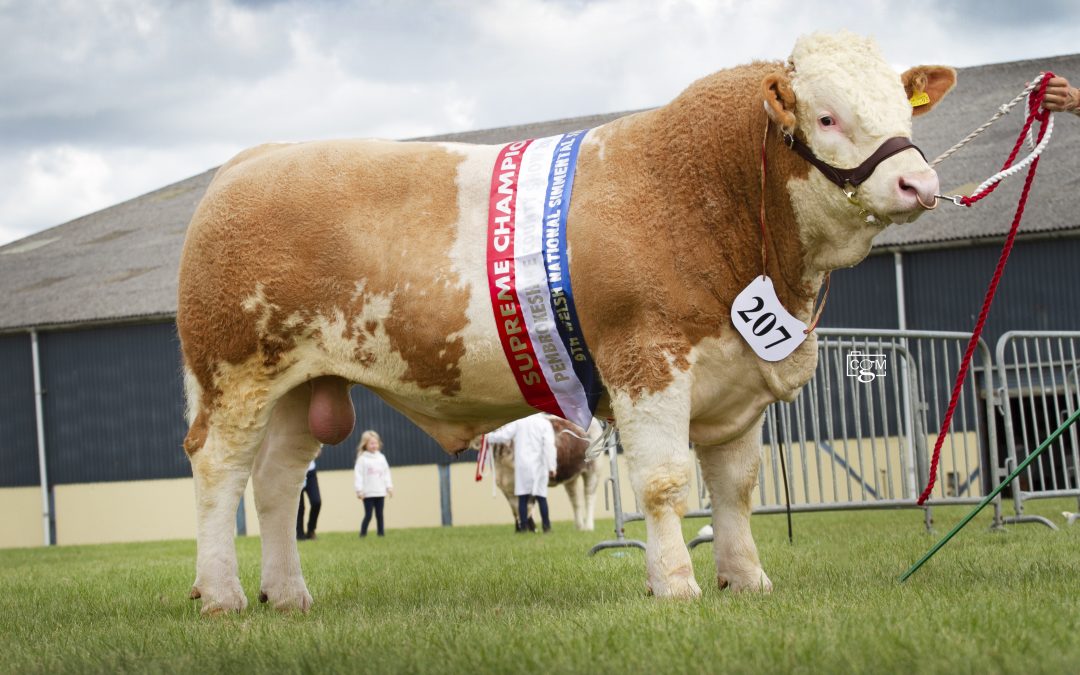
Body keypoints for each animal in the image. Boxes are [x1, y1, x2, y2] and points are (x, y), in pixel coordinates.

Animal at [177, 30, 954, 609]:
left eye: (904, 110)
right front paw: (676, 585)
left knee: (276, 481)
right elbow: (665, 481)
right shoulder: (648, 359)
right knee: (220, 471)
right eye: (827, 116)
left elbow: (735, 485)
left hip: (301, 384)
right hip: (234, 373)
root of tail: (252, 160)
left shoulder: (735, 374)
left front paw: (747, 579)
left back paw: (287, 593)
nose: (919, 181)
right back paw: (222, 594)